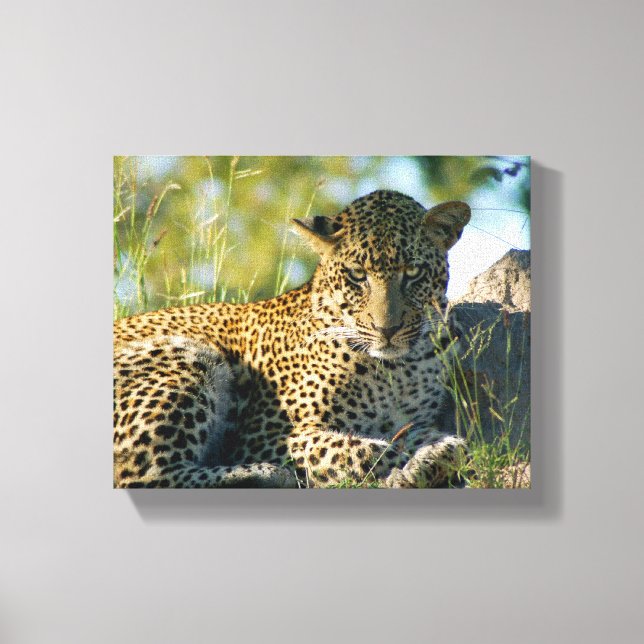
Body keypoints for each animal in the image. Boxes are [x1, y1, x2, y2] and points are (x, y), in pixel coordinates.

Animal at [113, 189, 471, 488]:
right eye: (357, 275)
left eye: (413, 273)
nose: (388, 329)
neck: (396, 371)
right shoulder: (265, 437)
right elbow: (359, 450)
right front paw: (411, 467)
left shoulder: (410, 423)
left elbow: (446, 444)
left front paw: (438, 454)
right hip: (187, 355)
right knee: (143, 476)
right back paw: (262, 476)